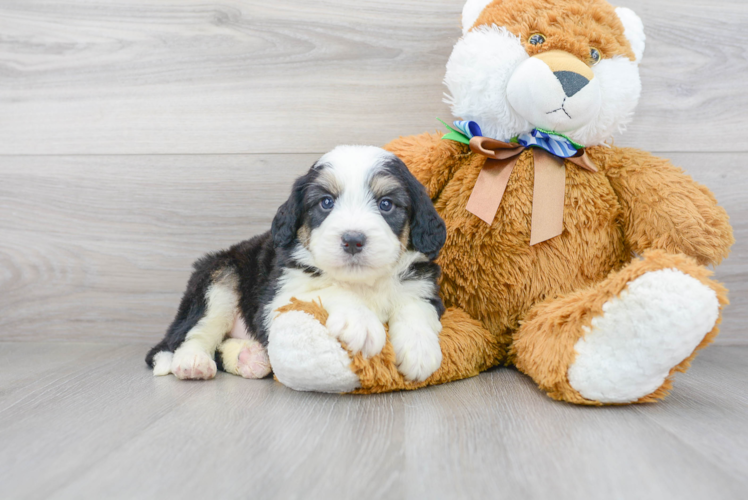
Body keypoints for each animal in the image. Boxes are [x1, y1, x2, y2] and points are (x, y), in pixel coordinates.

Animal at [148, 145, 450, 382]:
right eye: (326, 202)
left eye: (386, 204)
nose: (353, 240)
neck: (362, 282)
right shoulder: (276, 300)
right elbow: (329, 290)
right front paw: (360, 322)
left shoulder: (422, 287)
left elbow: (415, 307)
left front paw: (420, 350)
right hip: (219, 277)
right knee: (193, 333)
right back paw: (193, 362)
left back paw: (249, 358)